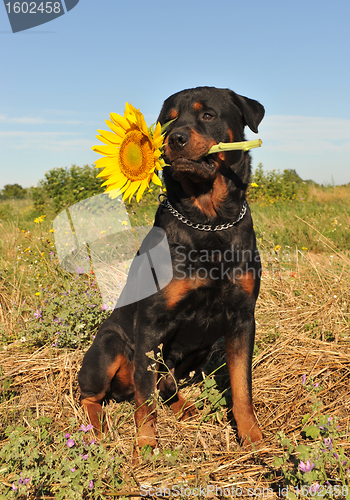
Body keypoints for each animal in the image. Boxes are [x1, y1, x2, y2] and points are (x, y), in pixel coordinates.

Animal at [78, 86, 266, 450]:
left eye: (208, 115)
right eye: (167, 122)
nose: (176, 138)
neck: (209, 220)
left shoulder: (242, 319)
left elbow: (242, 388)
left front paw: (252, 437)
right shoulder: (151, 325)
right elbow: (145, 405)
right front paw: (146, 448)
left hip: (198, 349)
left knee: (164, 386)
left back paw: (183, 407)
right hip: (108, 347)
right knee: (94, 395)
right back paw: (96, 429)